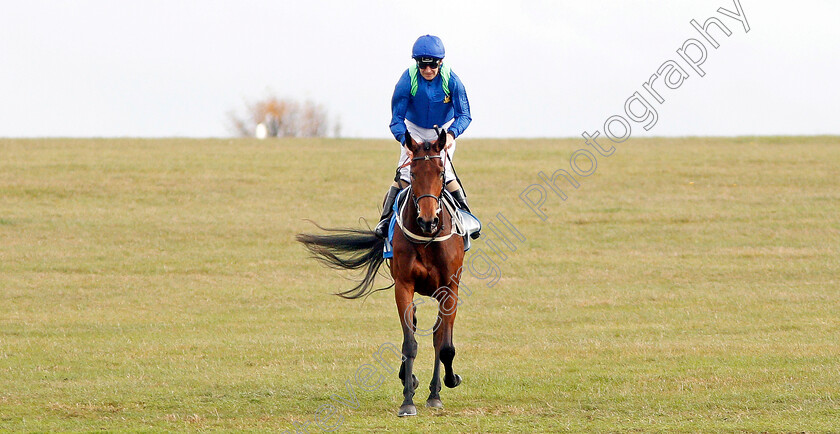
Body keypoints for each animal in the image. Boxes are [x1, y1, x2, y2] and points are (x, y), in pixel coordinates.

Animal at [296, 130, 466, 418]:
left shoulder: (449, 288)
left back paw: (435, 393)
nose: (428, 220)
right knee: (418, 326)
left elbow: (445, 345)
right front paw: (407, 399)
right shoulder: (404, 285)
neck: (428, 239)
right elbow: (409, 342)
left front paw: (450, 380)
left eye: (442, 172)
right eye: (414, 173)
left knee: (438, 335)